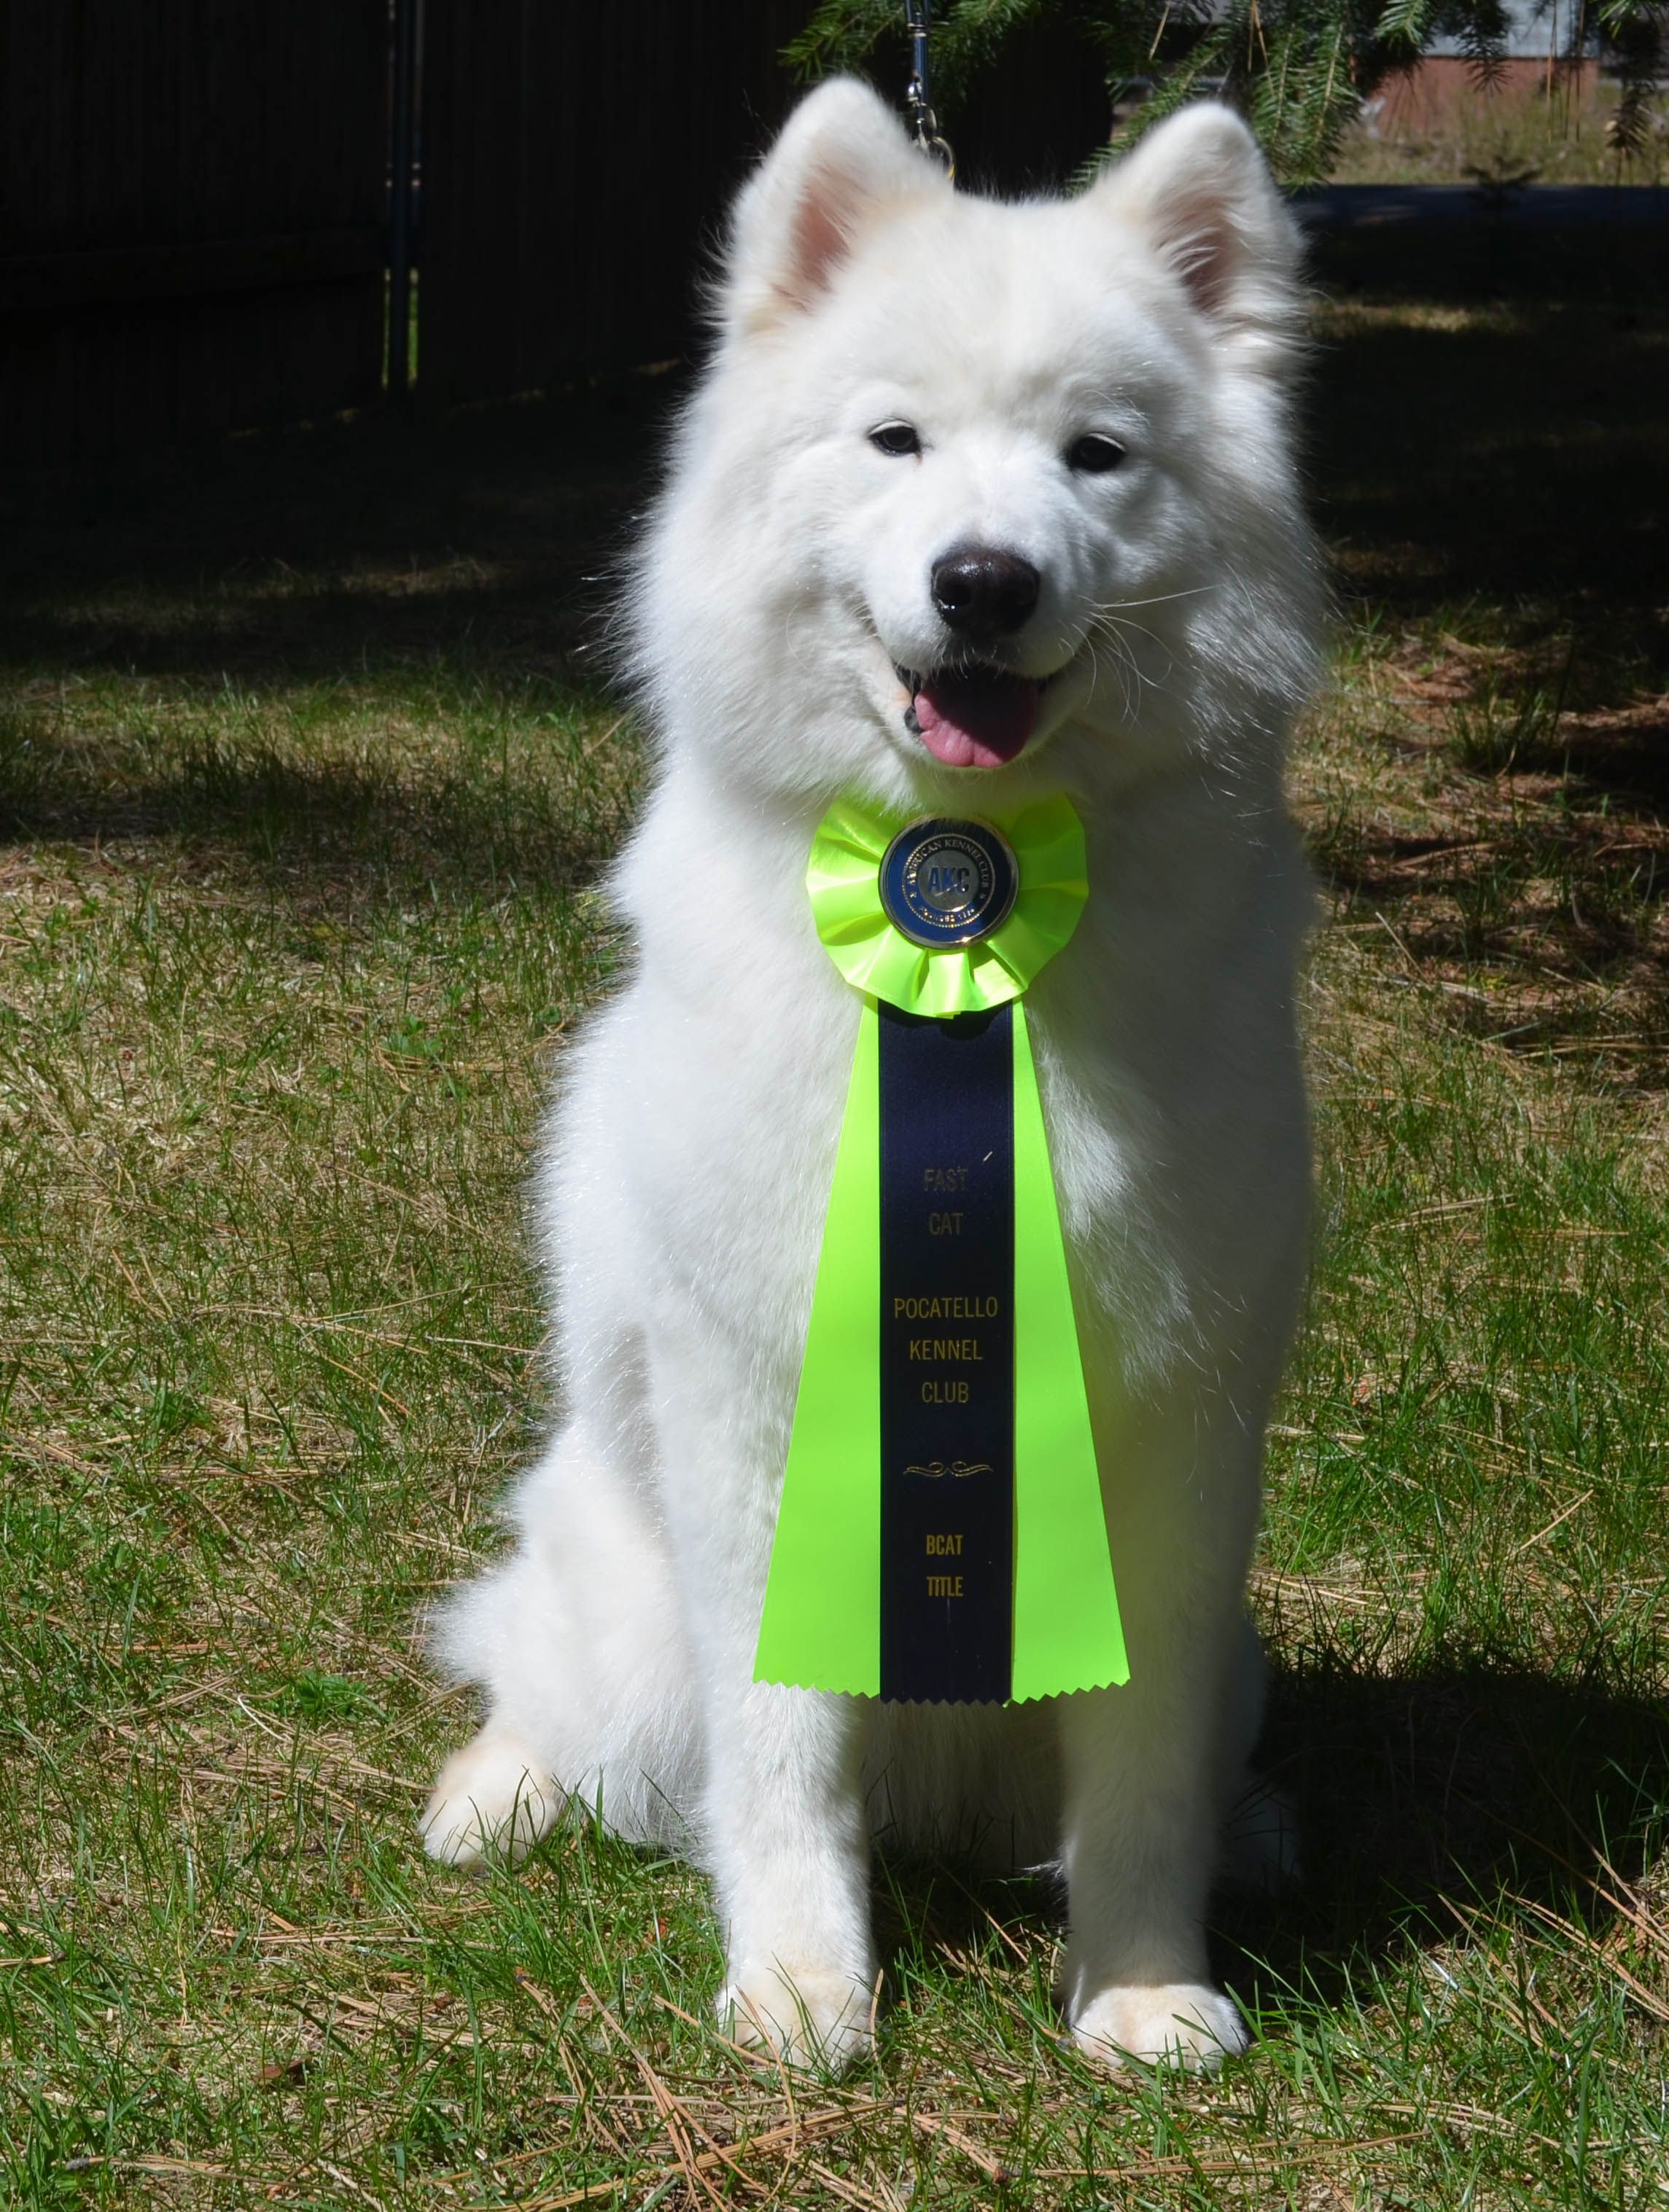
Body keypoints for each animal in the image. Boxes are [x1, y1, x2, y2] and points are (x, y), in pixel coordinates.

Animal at [423, 78, 1320, 2075]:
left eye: (1096, 457)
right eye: (893, 439)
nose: (982, 580)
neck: (972, 914)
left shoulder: (1176, 1428)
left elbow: (1138, 1771)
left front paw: (1140, 1987)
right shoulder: (754, 1406)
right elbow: (775, 1753)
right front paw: (796, 1984)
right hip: (611, 1570)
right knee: (549, 1678)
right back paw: (494, 1792)